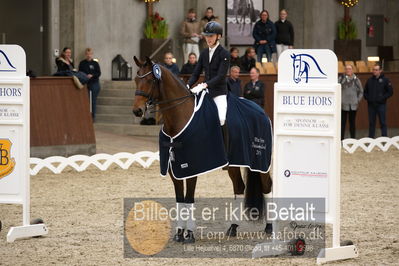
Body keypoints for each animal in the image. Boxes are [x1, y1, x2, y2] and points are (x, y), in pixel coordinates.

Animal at [133, 56, 274, 243]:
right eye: (136, 79)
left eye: (149, 80)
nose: (137, 110)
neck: (180, 117)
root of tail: (261, 111)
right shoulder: (174, 170)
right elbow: (180, 199)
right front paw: (179, 233)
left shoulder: (193, 167)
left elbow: (189, 198)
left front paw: (190, 234)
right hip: (234, 164)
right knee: (239, 187)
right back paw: (233, 228)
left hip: (261, 162)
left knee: (267, 187)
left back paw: (269, 227)